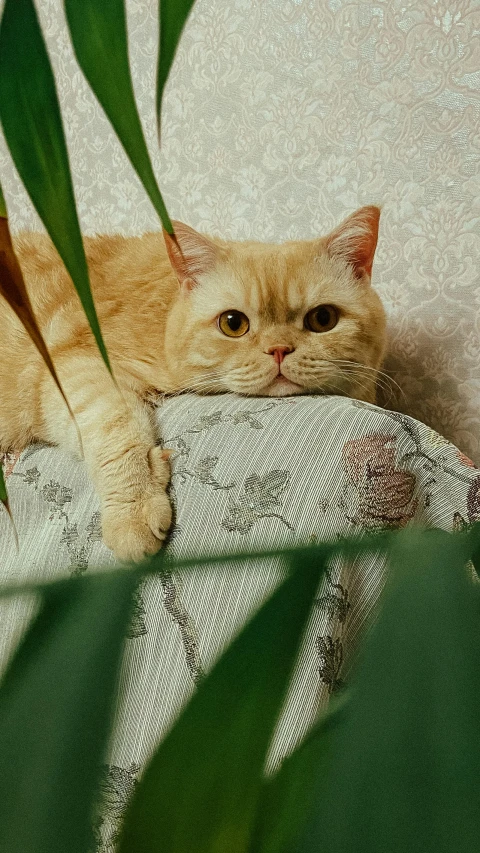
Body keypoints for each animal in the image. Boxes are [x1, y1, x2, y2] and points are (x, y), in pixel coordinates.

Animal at [0, 203, 386, 564]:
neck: (163, 316)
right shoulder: (68, 371)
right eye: (233, 324)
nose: (279, 350)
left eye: (323, 319)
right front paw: (133, 513)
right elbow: (119, 431)